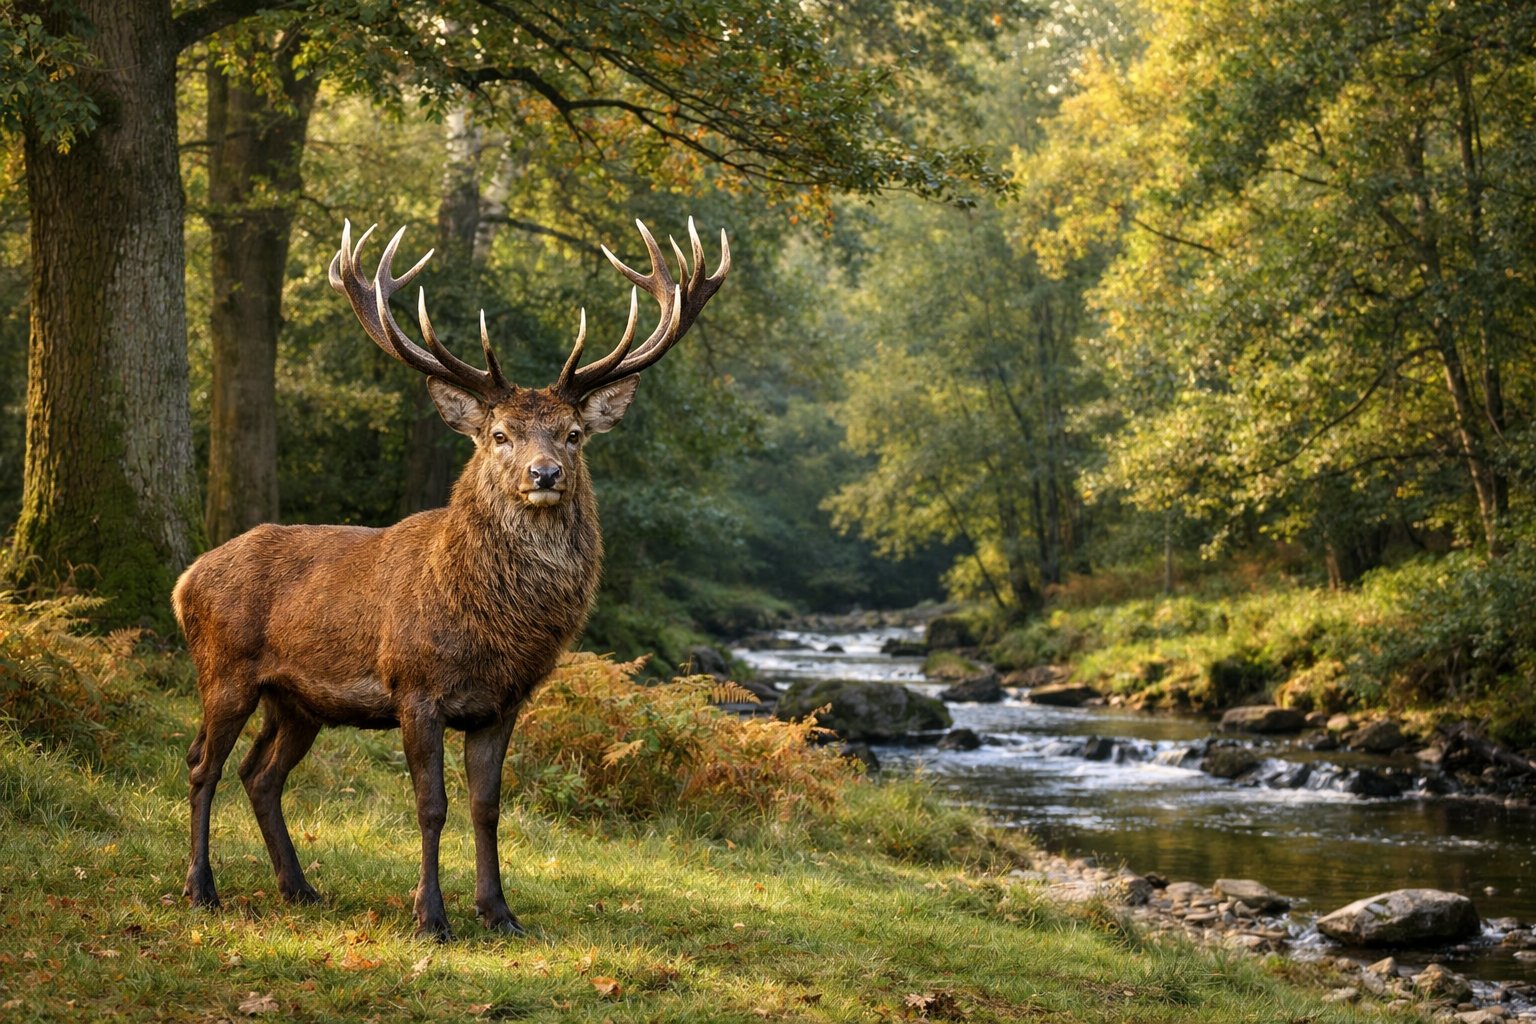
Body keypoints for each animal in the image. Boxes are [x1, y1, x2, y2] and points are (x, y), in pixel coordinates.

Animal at [173, 217, 729, 940]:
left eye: (574, 433)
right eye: (499, 434)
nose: (545, 474)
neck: (491, 626)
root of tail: (186, 580)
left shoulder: (503, 702)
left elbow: (487, 806)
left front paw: (499, 912)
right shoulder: (416, 687)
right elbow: (430, 805)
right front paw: (430, 916)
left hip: (296, 701)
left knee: (259, 773)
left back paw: (299, 888)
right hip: (226, 668)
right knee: (202, 764)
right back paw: (200, 887)